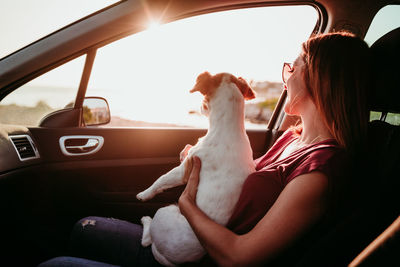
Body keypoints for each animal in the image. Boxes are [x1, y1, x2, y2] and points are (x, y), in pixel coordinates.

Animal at [137, 72, 256, 266]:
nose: (200, 107)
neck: (228, 129)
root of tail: (167, 257)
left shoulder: (184, 170)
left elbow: (161, 179)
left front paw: (145, 193)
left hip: (164, 211)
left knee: (146, 240)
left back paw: (146, 220)